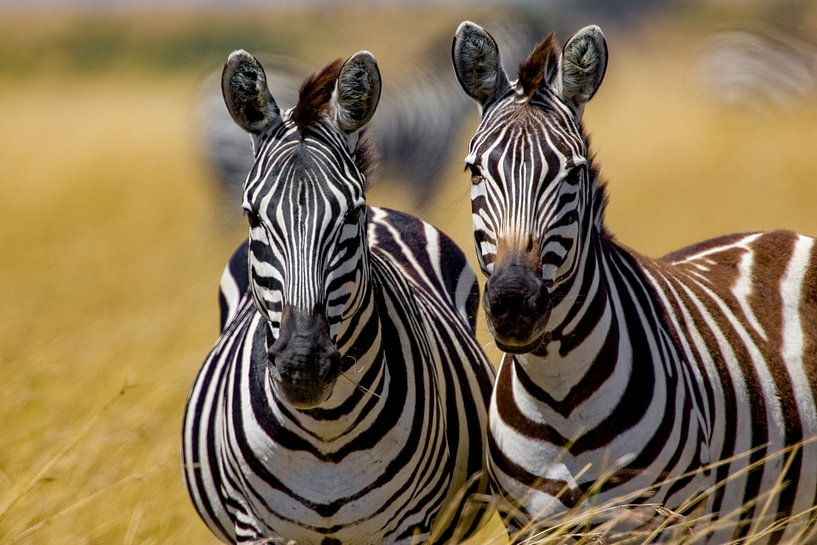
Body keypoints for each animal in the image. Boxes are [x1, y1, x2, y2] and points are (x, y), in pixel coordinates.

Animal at [182, 48, 496, 545]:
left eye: (352, 214)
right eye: (253, 216)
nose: (303, 366)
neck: (324, 428)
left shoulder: (407, 527)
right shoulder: (255, 527)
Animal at [451, 20, 817, 543]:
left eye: (574, 174)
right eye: (475, 170)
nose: (514, 305)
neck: (558, 392)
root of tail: (782, 233)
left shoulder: (651, 520)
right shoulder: (529, 526)